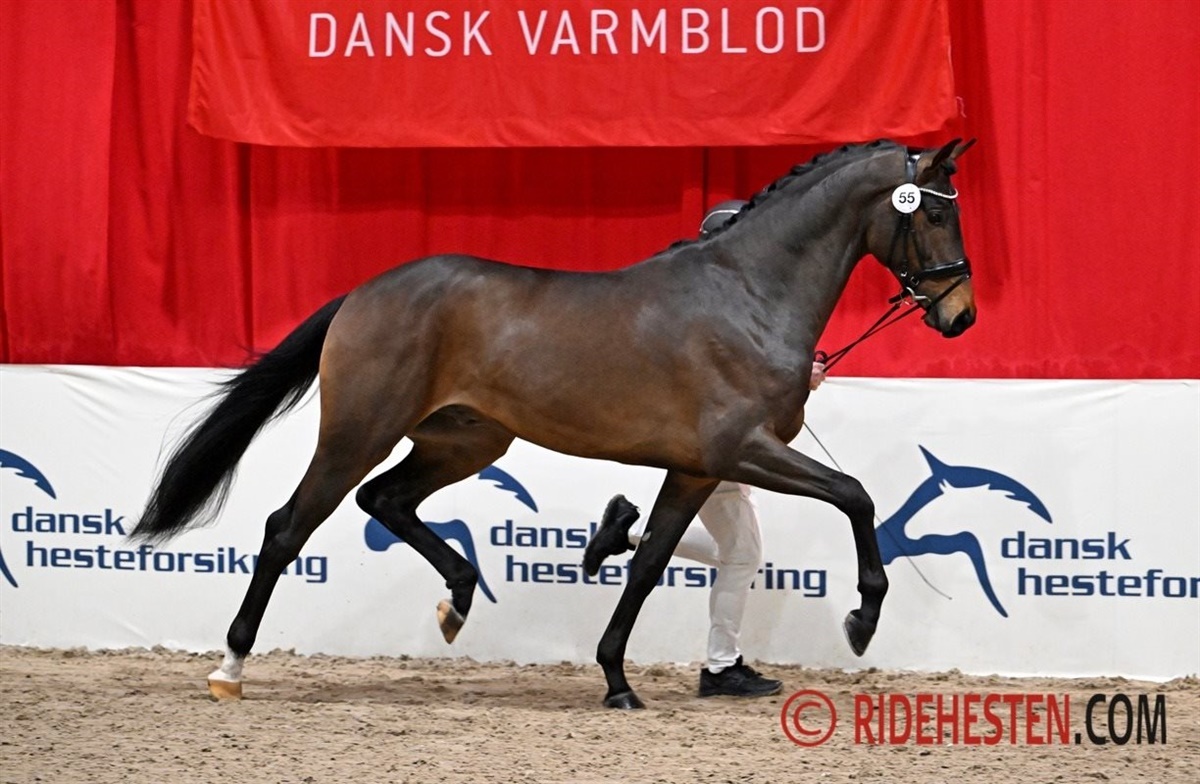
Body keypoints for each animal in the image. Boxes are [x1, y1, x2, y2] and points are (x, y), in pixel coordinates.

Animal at [132, 138, 978, 709]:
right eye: (934, 214)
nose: (960, 315)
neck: (747, 295)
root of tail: (366, 292)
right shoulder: (742, 450)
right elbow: (857, 495)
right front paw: (863, 618)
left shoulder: (698, 467)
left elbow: (648, 562)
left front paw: (616, 679)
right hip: (358, 433)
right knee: (288, 528)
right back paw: (230, 669)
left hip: (466, 438)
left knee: (387, 501)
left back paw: (457, 601)